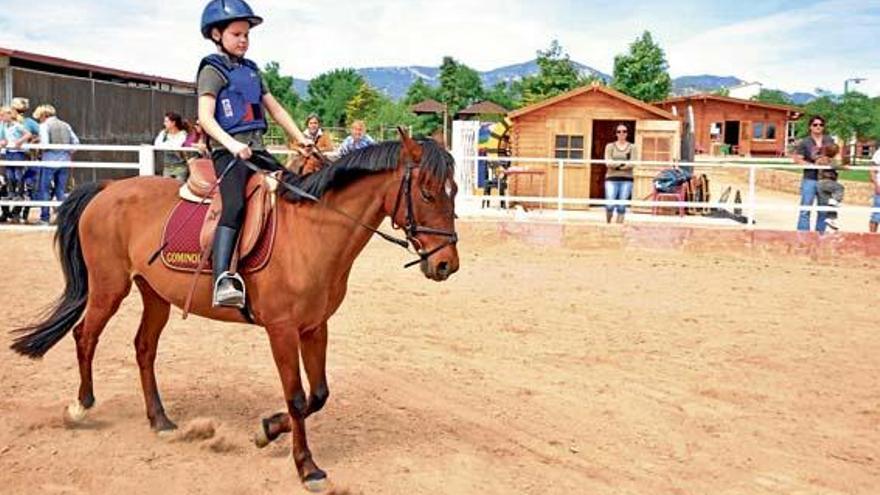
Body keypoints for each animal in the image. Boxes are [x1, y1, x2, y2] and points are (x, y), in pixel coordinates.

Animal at [8, 131, 460, 492]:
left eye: (454, 190)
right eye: (427, 192)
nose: (446, 265)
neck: (312, 232)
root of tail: (106, 188)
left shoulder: (315, 327)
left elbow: (318, 395)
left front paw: (267, 431)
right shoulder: (282, 330)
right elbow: (297, 398)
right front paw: (307, 467)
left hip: (154, 295)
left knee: (144, 348)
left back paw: (160, 420)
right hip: (109, 288)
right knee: (85, 336)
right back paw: (80, 406)